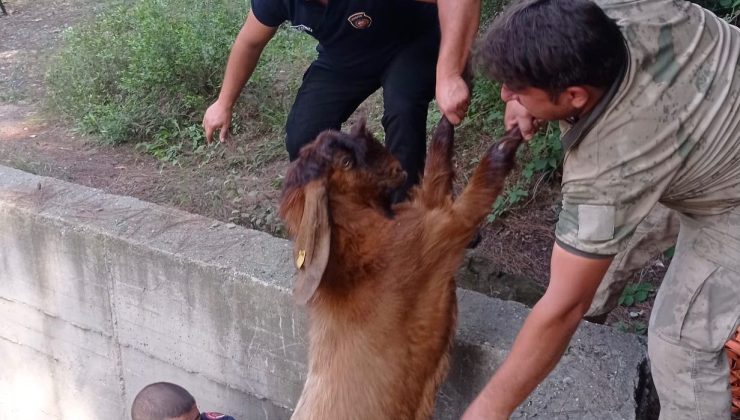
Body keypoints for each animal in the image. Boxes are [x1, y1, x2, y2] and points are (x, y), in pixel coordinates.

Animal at [278, 117, 528, 420]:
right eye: (346, 162)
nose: (396, 167)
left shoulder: (421, 213)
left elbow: (434, 177)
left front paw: (446, 122)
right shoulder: (435, 235)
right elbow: (472, 199)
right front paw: (508, 142)